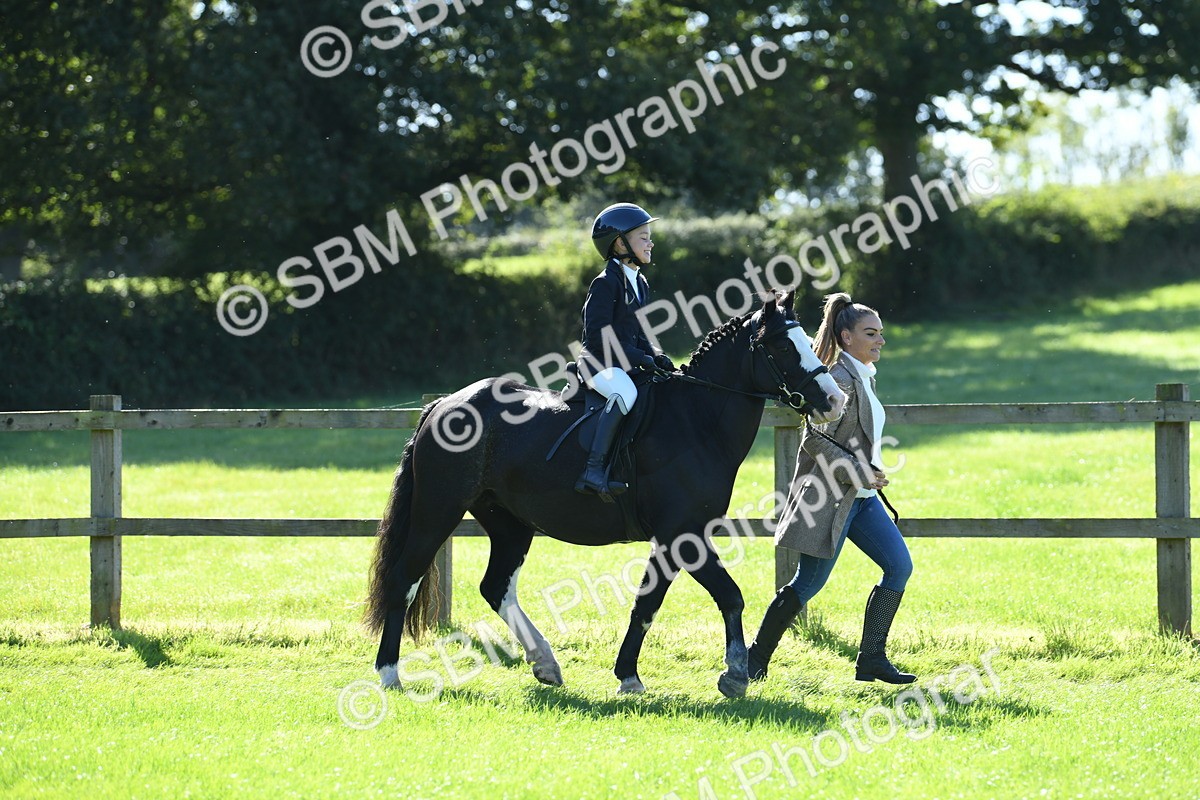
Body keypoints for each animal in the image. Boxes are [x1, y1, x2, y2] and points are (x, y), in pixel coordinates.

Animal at [364, 289, 848, 698]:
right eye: (783, 347)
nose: (835, 400)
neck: (696, 421)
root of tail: (443, 404)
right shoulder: (682, 534)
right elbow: (727, 595)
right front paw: (734, 674)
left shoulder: (677, 538)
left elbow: (647, 603)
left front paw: (630, 675)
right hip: (437, 512)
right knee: (404, 579)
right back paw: (389, 675)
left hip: (509, 524)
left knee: (495, 586)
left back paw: (545, 663)